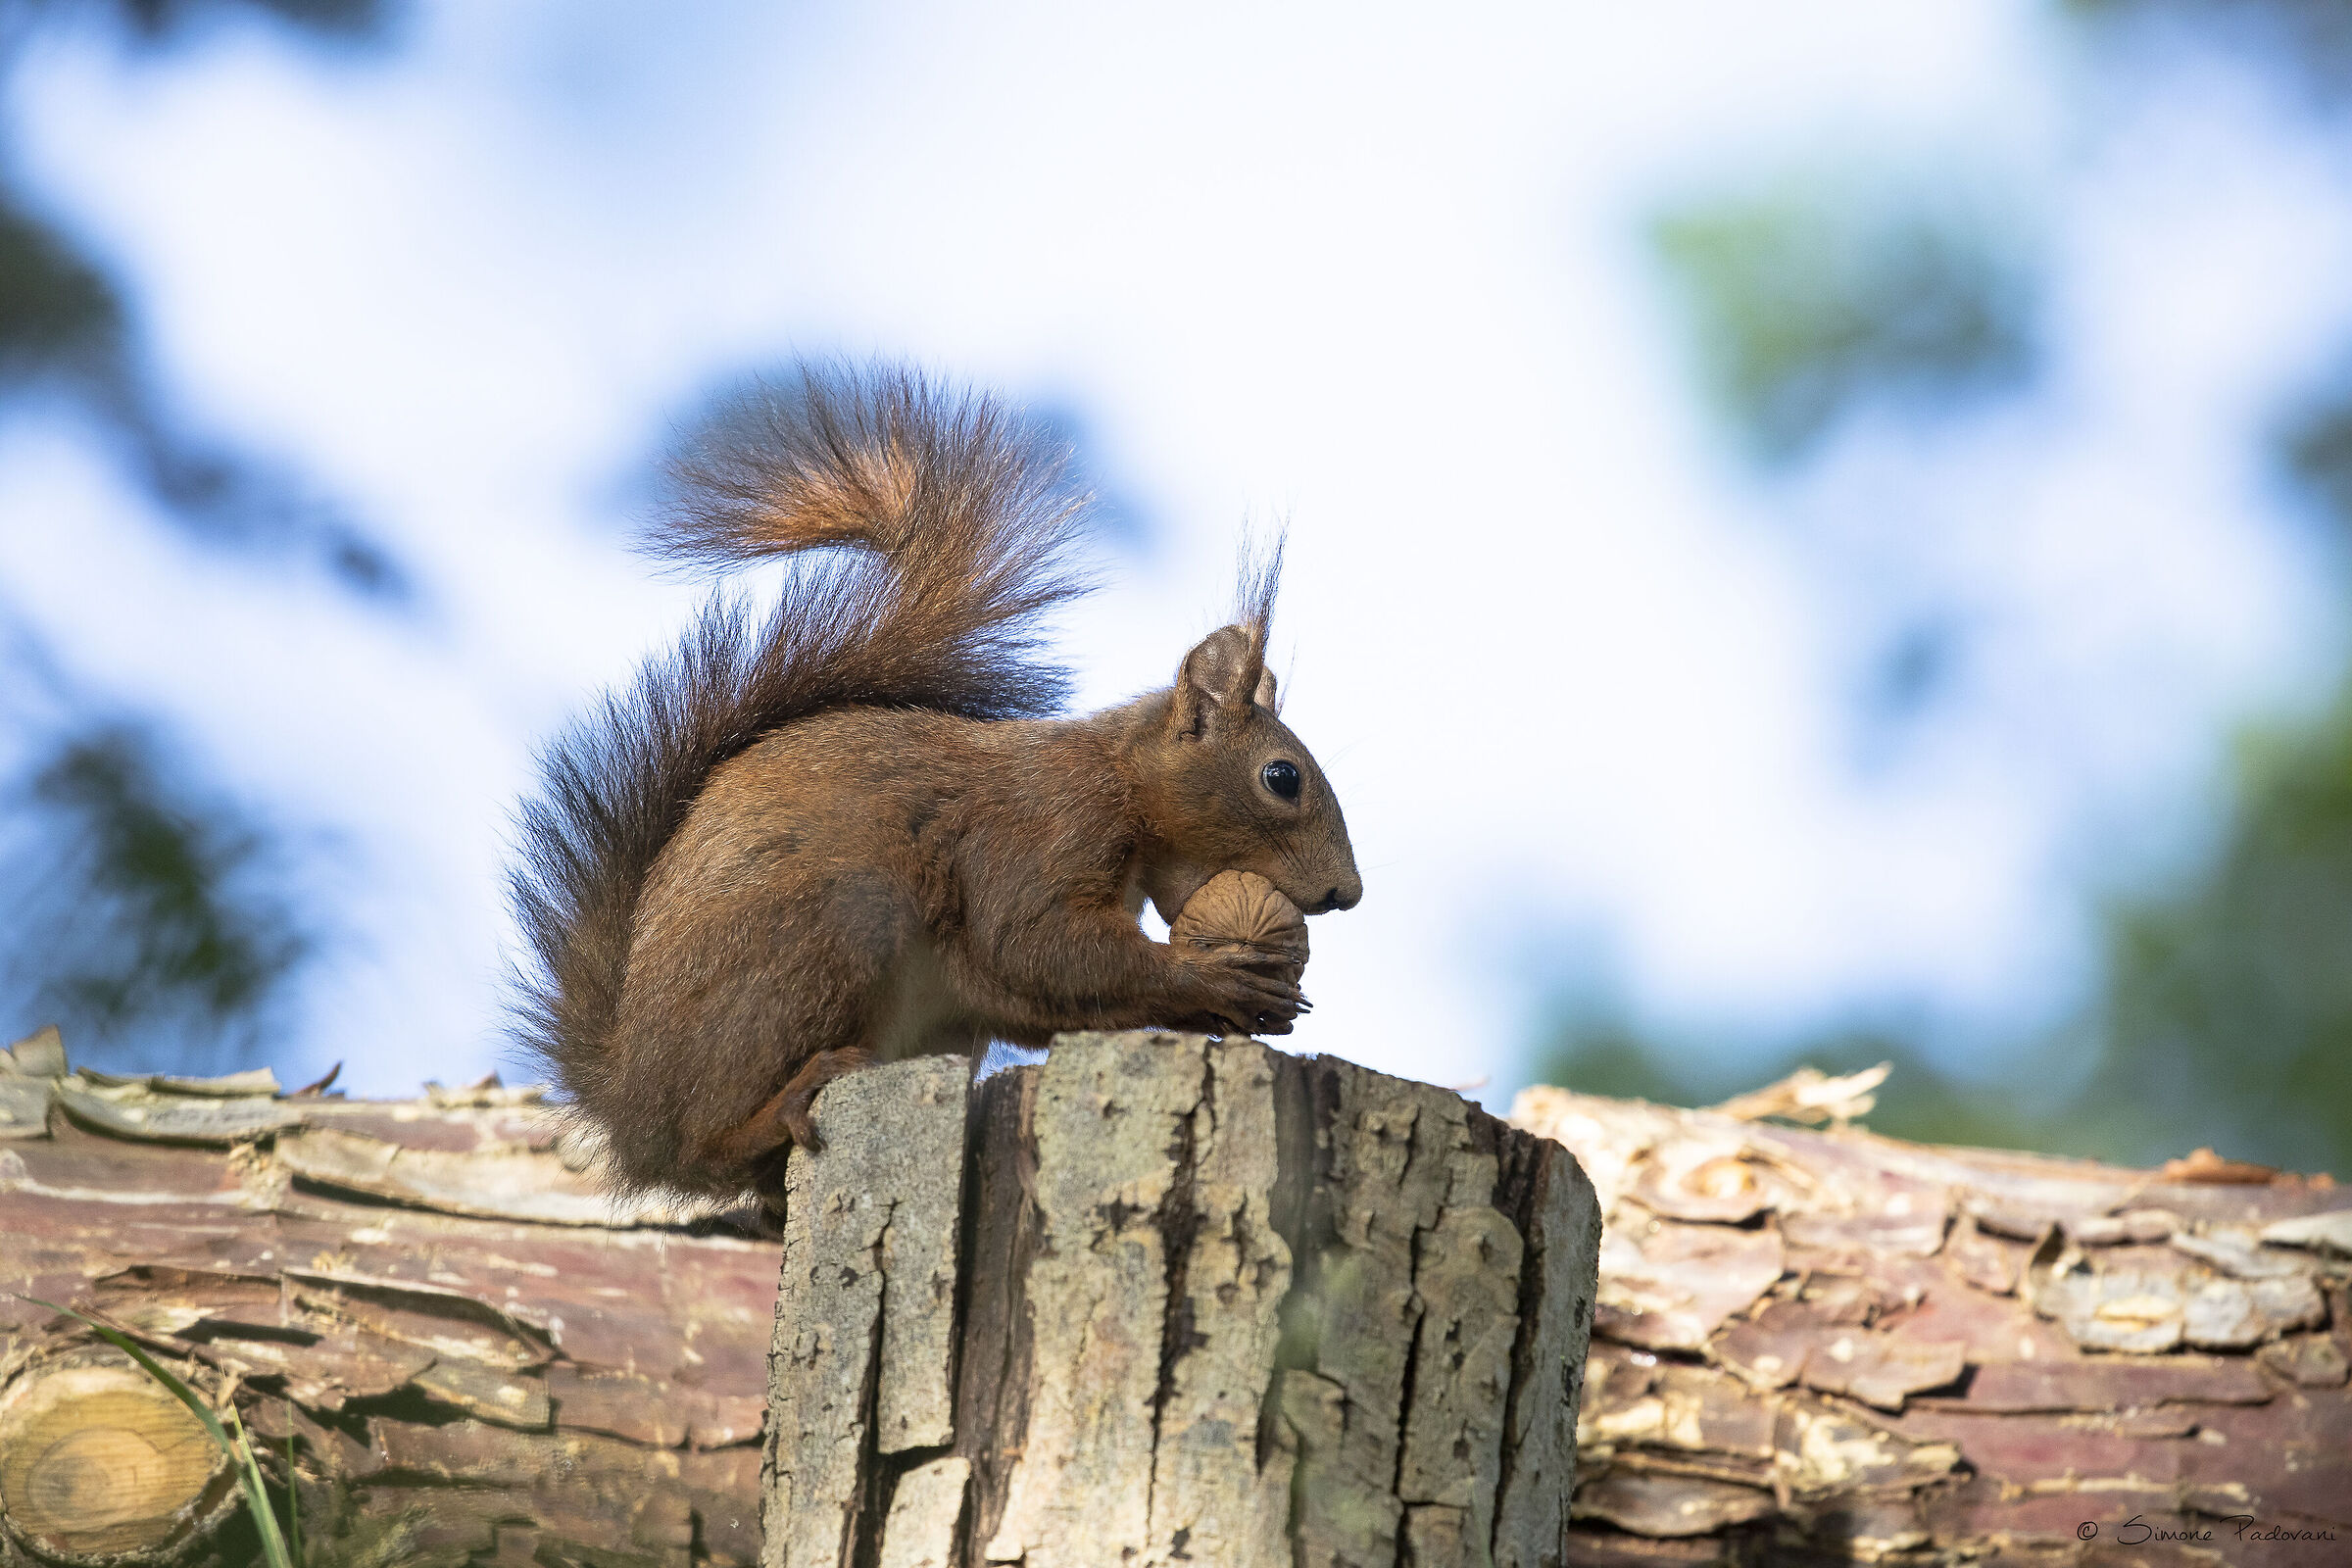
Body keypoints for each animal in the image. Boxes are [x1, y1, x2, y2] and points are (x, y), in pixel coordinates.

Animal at [510, 364, 1362, 1201]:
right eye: (1281, 777)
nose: (1345, 893)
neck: (1121, 780)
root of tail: (628, 1109)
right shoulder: (1045, 827)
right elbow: (1035, 943)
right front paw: (1213, 974)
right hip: (822, 938)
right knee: (706, 1145)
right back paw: (782, 1104)